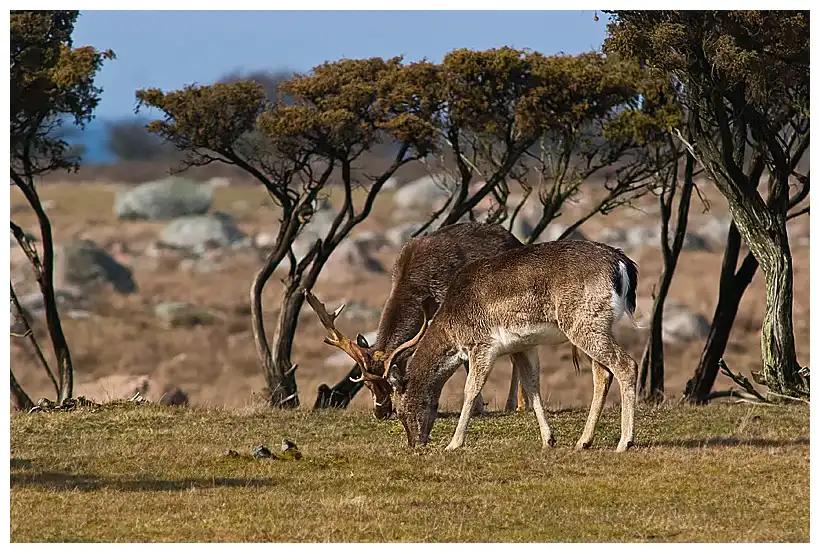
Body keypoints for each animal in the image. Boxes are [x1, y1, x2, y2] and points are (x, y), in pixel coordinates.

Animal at [304, 220, 528, 418]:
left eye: (390, 384)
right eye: (366, 384)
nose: (381, 413)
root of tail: (517, 240)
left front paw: (478, 409)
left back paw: (517, 405)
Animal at [382, 239, 644, 450]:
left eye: (400, 410)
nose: (416, 443)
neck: (453, 323)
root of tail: (622, 263)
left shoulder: (482, 344)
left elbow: (471, 390)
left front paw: (453, 444)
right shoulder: (523, 346)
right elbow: (532, 386)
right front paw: (548, 440)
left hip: (584, 324)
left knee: (626, 365)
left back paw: (624, 442)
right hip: (596, 326)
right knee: (602, 372)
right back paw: (583, 442)